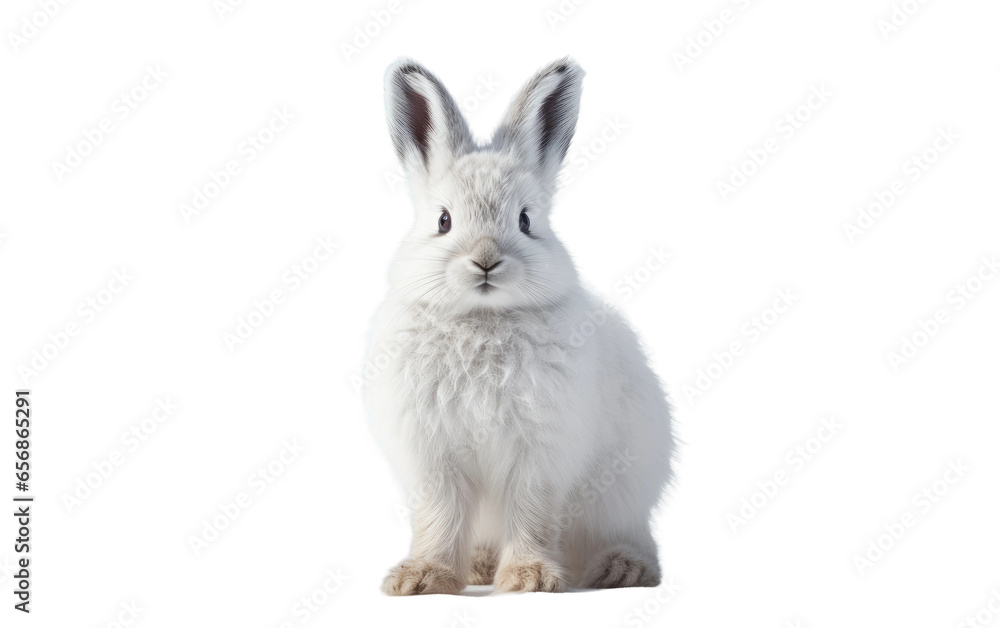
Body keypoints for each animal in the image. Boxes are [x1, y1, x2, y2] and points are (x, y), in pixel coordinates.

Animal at [365, 57, 674, 595]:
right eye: (444, 221)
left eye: (526, 220)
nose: (487, 260)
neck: (482, 318)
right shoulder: (434, 456)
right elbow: (439, 516)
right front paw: (423, 578)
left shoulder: (540, 452)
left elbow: (531, 512)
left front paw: (529, 578)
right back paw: (479, 565)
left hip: (622, 496)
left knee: (630, 536)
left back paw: (621, 568)